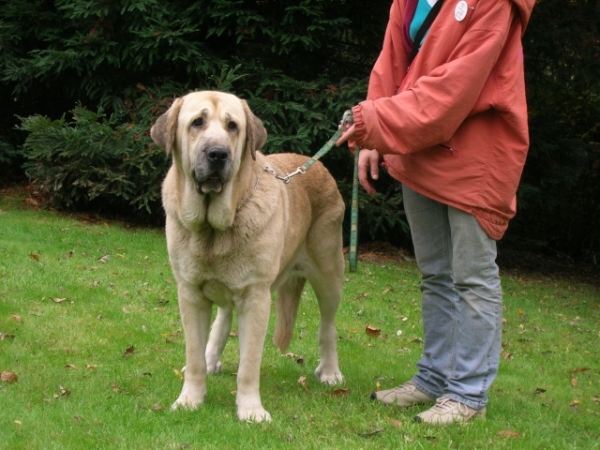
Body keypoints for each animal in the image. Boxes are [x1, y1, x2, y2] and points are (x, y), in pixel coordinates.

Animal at [150, 90, 344, 422]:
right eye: (197, 122)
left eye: (233, 126)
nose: (218, 154)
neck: (214, 229)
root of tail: (316, 165)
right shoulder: (189, 293)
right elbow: (194, 352)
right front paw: (190, 399)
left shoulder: (256, 297)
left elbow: (249, 364)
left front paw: (251, 409)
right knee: (223, 317)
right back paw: (210, 356)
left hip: (329, 275)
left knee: (327, 326)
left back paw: (330, 371)